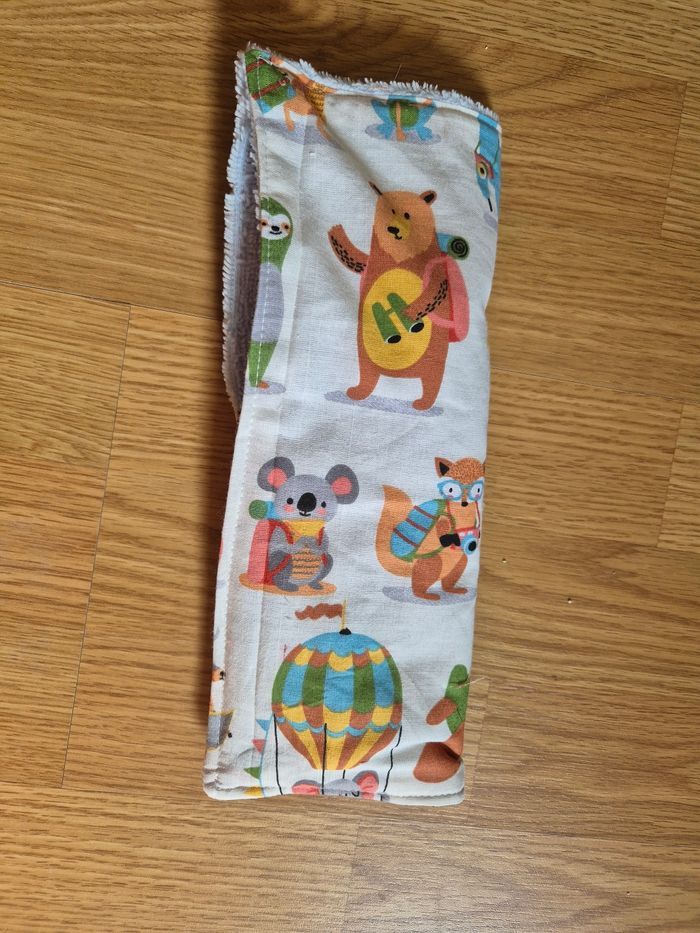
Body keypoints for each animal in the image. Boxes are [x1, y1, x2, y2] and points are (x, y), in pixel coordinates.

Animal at [328, 183, 469, 411]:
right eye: (390, 211)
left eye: (407, 215)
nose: (393, 229)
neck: (398, 257)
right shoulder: (370, 262)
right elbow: (356, 259)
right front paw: (336, 232)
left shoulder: (436, 274)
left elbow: (433, 291)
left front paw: (412, 311)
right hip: (365, 355)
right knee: (369, 374)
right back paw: (359, 392)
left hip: (435, 360)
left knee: (431, 381)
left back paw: (423, 403)